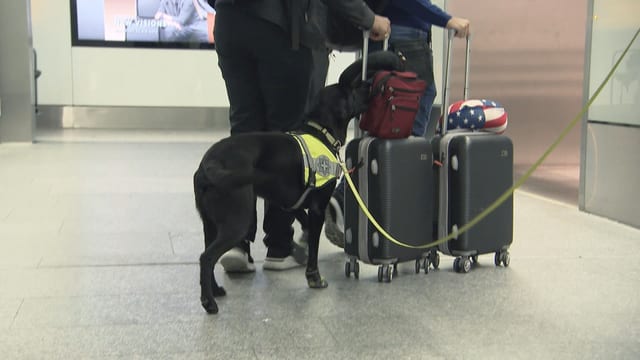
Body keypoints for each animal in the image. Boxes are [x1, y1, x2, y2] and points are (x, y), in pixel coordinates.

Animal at [192, 81, 368, 312]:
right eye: (352, 90)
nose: (370, 86)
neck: (321, 132)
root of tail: (208, 164)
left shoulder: (290, 203)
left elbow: (302, 225)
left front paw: (298, 248)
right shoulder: (317, 209)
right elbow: (314, 248)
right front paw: (314, 278)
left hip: (209, 224)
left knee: (207, 255)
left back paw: (216, 291)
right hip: (237, 222)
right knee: (207, 257)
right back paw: (209, 302)